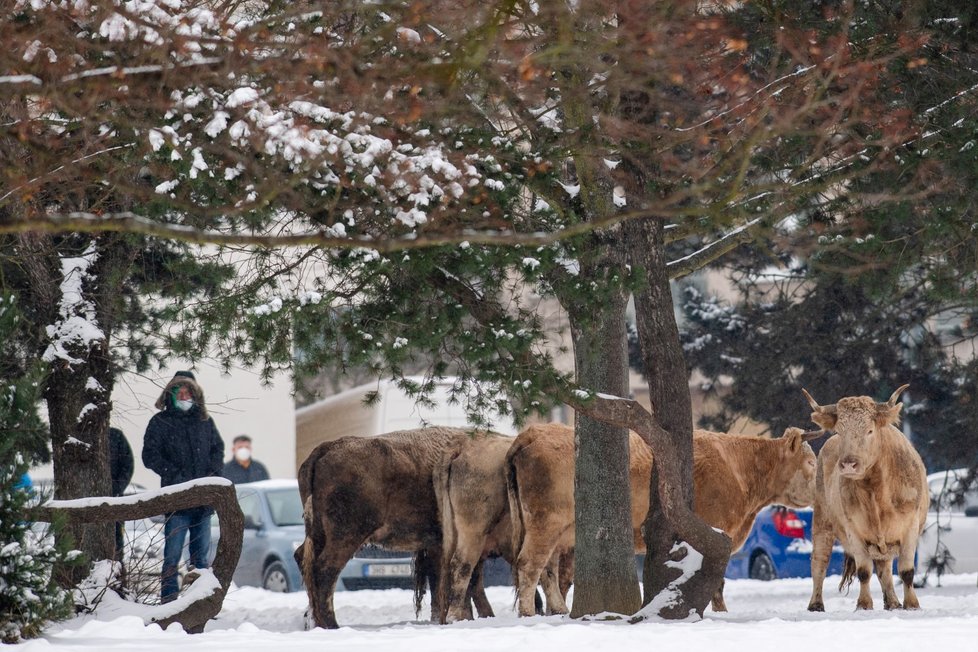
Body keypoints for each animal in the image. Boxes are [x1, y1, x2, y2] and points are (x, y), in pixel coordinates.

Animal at [296, 426, 496, 628]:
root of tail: (326, 448)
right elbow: (469, 580)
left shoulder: (436, 546)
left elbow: (440, 582)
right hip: (347, 535)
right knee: (325, 569)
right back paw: (331, 624)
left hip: (320, 533)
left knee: (303, 559)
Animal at [508, 422, 820, 616]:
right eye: (811, 462)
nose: (821, 495)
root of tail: (534, 432)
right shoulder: (718, 531)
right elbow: (717, 580)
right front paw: (721, 611)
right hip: (545, 523)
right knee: (529, 565)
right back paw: (528, 613)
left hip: (556, 532)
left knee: (547, 570)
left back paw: (559, 609)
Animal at [800, 382, 924, 612]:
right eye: (840, 431)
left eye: (869, 430)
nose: (849, 464)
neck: (877, 492)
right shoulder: (853, 530)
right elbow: (864, 571)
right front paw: (864, 605)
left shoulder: (910, 527)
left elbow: (906, 571)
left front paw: (912, 605)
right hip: (822, 521)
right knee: (819, 561)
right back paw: (815, 604)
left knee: (885, 568)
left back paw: (893, 603)